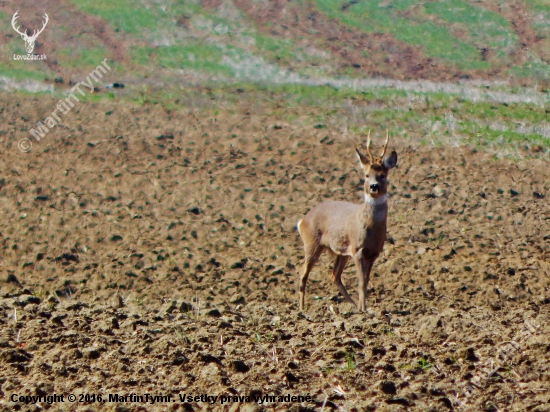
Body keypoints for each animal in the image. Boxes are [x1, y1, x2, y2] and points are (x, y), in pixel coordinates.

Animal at [300, 134, 398, 310]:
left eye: (383, 175)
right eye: (366, 175)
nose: (374, 186)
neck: (371, 228)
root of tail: (302, 220)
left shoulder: (373, 253)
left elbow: (366, 281)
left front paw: (363, 308)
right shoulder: (357, 249)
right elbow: (361, 282)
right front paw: (364, 309)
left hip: (340, 251)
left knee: (334, 275)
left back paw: (352, 305)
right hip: (311, 244)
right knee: (303, 273)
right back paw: (301, 309)